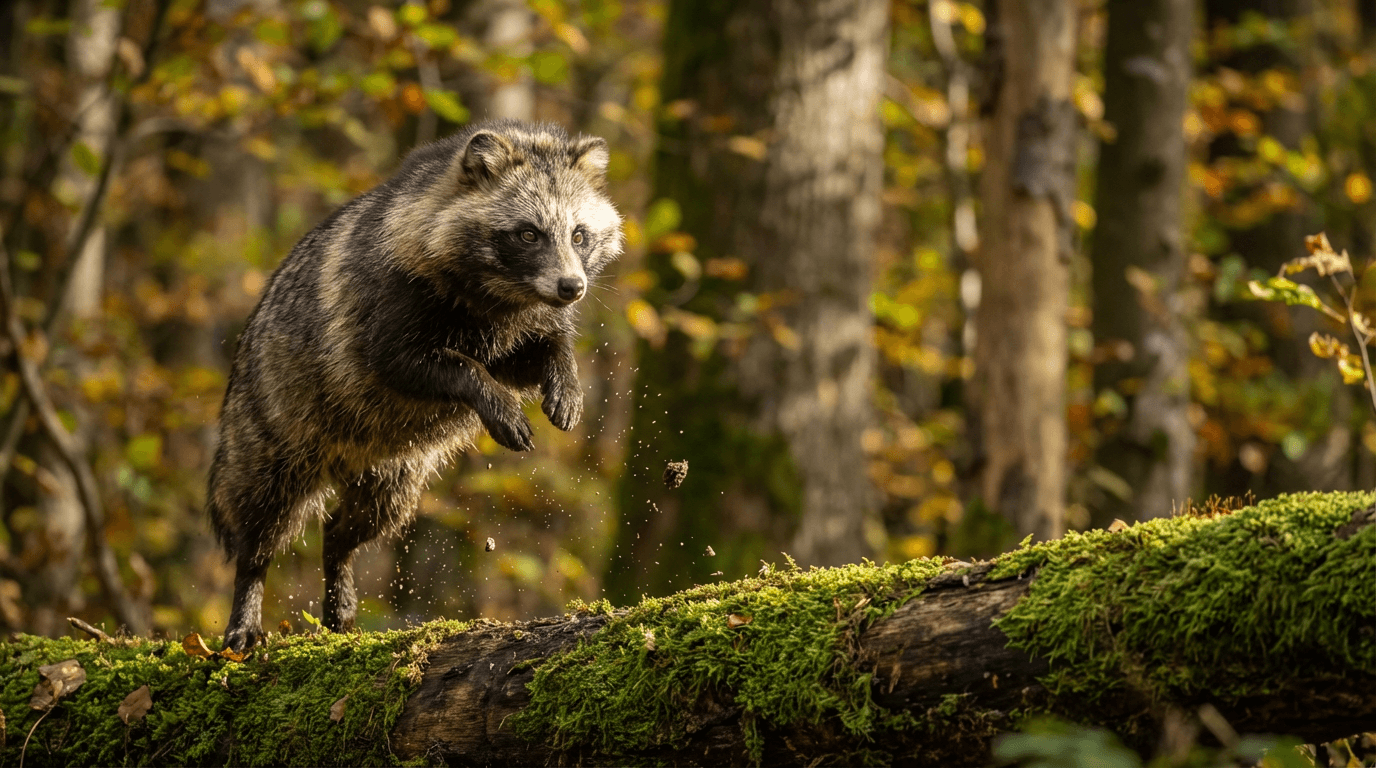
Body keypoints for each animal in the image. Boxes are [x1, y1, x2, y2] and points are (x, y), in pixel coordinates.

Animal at [207, 119, 622, 651]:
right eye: (529, 234)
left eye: (580, 234)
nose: (572, 287)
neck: (501, 296)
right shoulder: (388, 304)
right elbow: (433, 366)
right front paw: (493, 399)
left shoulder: (517, 326)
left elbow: (537, 353)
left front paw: (565, 377)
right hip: (276, 429)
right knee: (261, 521)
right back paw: (247, 597)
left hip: (393, 470)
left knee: (350, 527)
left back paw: (338, 579)